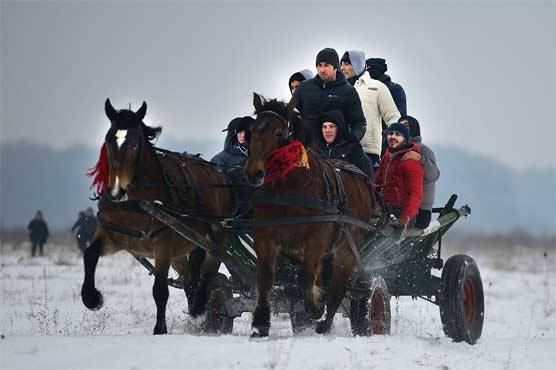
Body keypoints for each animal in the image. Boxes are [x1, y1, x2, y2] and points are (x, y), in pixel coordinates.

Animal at [81, 99, 233, 336]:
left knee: (210, 267)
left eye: (135, 143)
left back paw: (200, 306)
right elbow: (89, 254)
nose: (116, 192)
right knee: (190, 278)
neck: (134, 203)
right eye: (109, 140)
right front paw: (91, 298)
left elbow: (160, 290)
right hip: (183, 248)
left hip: (215, 235)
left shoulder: (162, 245)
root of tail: (219, 174)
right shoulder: (112, 234)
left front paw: (160, 329)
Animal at [245, 92, 376, 336]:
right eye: (252, 131)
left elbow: (305, 278)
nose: (253, 173)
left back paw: (324, 321)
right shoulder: (265, 236)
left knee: (338, 288)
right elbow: (265, 278)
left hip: (347, 248)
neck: (289, 190)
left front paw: (315, 308)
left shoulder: (316, 240)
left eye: (278, 133)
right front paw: (260, 323)